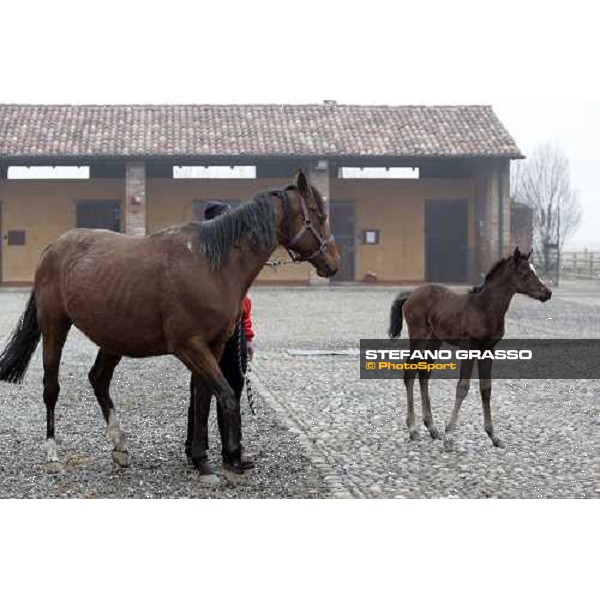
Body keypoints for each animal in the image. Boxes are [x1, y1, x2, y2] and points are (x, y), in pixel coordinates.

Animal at [390, 247, 552, 450]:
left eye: (534, 271)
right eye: (525, 273)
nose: (547, 293)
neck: (484, 308)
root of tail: (411, 294)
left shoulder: (488, 350)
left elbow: (486, 388)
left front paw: (493, 436)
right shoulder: (469, 347)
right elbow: (462, 387)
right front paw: (450, 435)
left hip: (435, 340)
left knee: (424, 373)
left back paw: (432, 427)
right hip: (419, 335)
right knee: (409, 372)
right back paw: (413, 428)